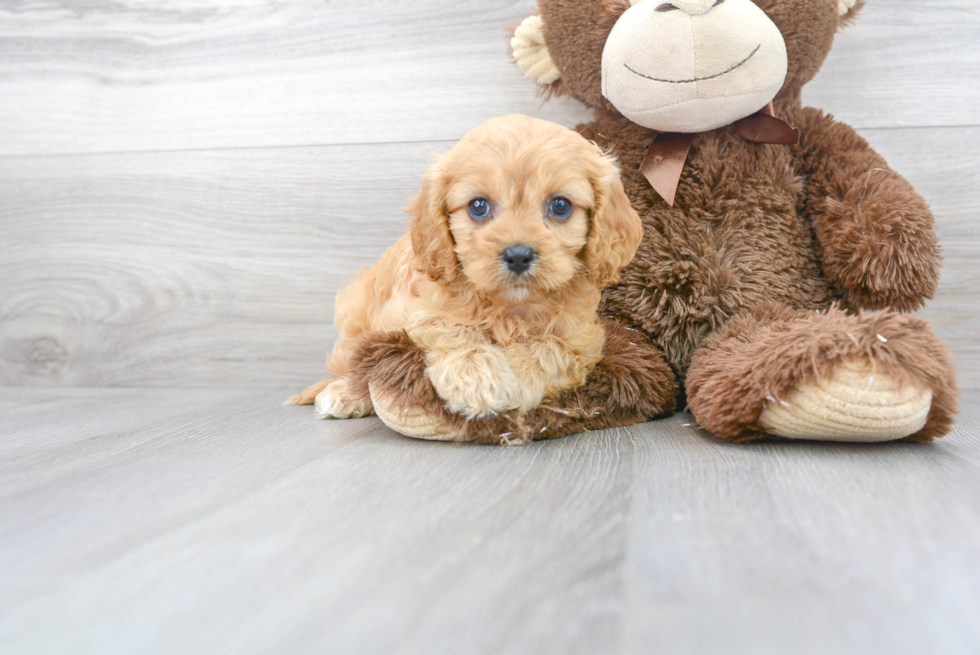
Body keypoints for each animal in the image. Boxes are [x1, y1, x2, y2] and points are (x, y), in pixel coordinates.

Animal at [290, 114, 644, 426]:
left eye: (560, 206)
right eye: (478, 206)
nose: (518, 255)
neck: (510, 307)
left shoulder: (582, 339)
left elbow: (547, 349)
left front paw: (517, 378)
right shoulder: (410, 310)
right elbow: (449, 327)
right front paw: (478, 379)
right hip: (357, 314)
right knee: (354, 364)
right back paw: (342, 395)